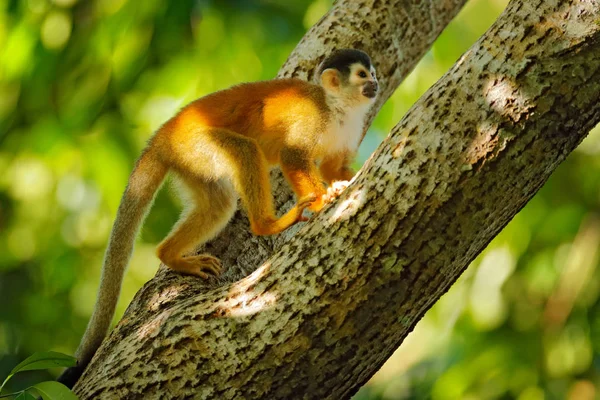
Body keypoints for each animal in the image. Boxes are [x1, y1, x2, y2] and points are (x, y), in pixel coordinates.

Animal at [59, 48, 380, 386]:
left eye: (372, 73)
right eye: (361, 75)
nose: (374, 83)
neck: (338, 108)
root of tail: (162, 136)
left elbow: (333, 166)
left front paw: (343, 182)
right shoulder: (314, 117)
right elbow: (292, 155)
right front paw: (323, 200)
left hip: (190, 160)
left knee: (219, 203)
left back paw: (170, 255)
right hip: (197, 144)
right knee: (245, 151)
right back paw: (267, 224)